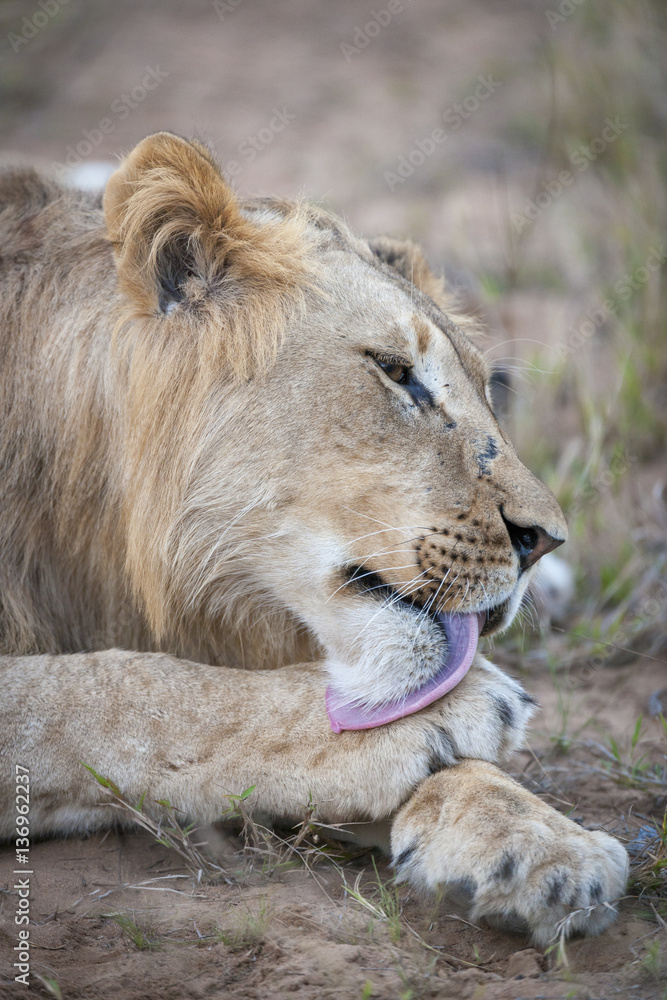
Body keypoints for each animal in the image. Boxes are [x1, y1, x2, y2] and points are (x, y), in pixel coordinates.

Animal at [0, 132, 627, 945]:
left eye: (489, 391)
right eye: (397, 374)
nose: (544, 541)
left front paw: (541, 841)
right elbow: (113, 688)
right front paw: (456, 718)